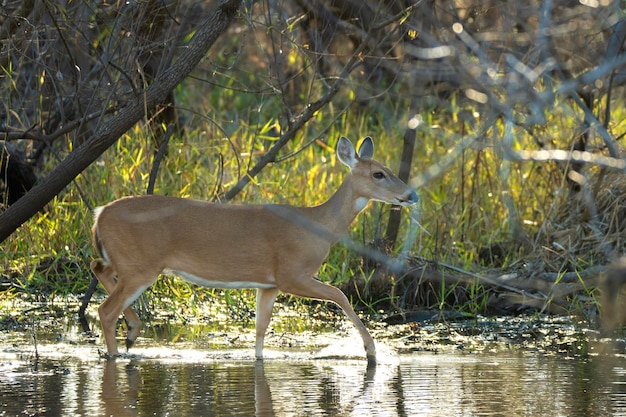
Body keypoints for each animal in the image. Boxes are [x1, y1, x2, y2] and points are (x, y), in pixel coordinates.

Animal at [90, 136, 416, 364]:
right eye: (378, 174)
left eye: (389, 169)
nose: (411, 194)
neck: (317, 226)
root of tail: (99, 213)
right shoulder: (290, 274)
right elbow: (340, 294)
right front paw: (371, 351)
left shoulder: (268, 284)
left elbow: (260, 328)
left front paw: (258, 357)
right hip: (140, 265)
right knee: (105, 310)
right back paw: (117, 350)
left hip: (126, 260)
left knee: (98, 268)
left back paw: (133, 331)